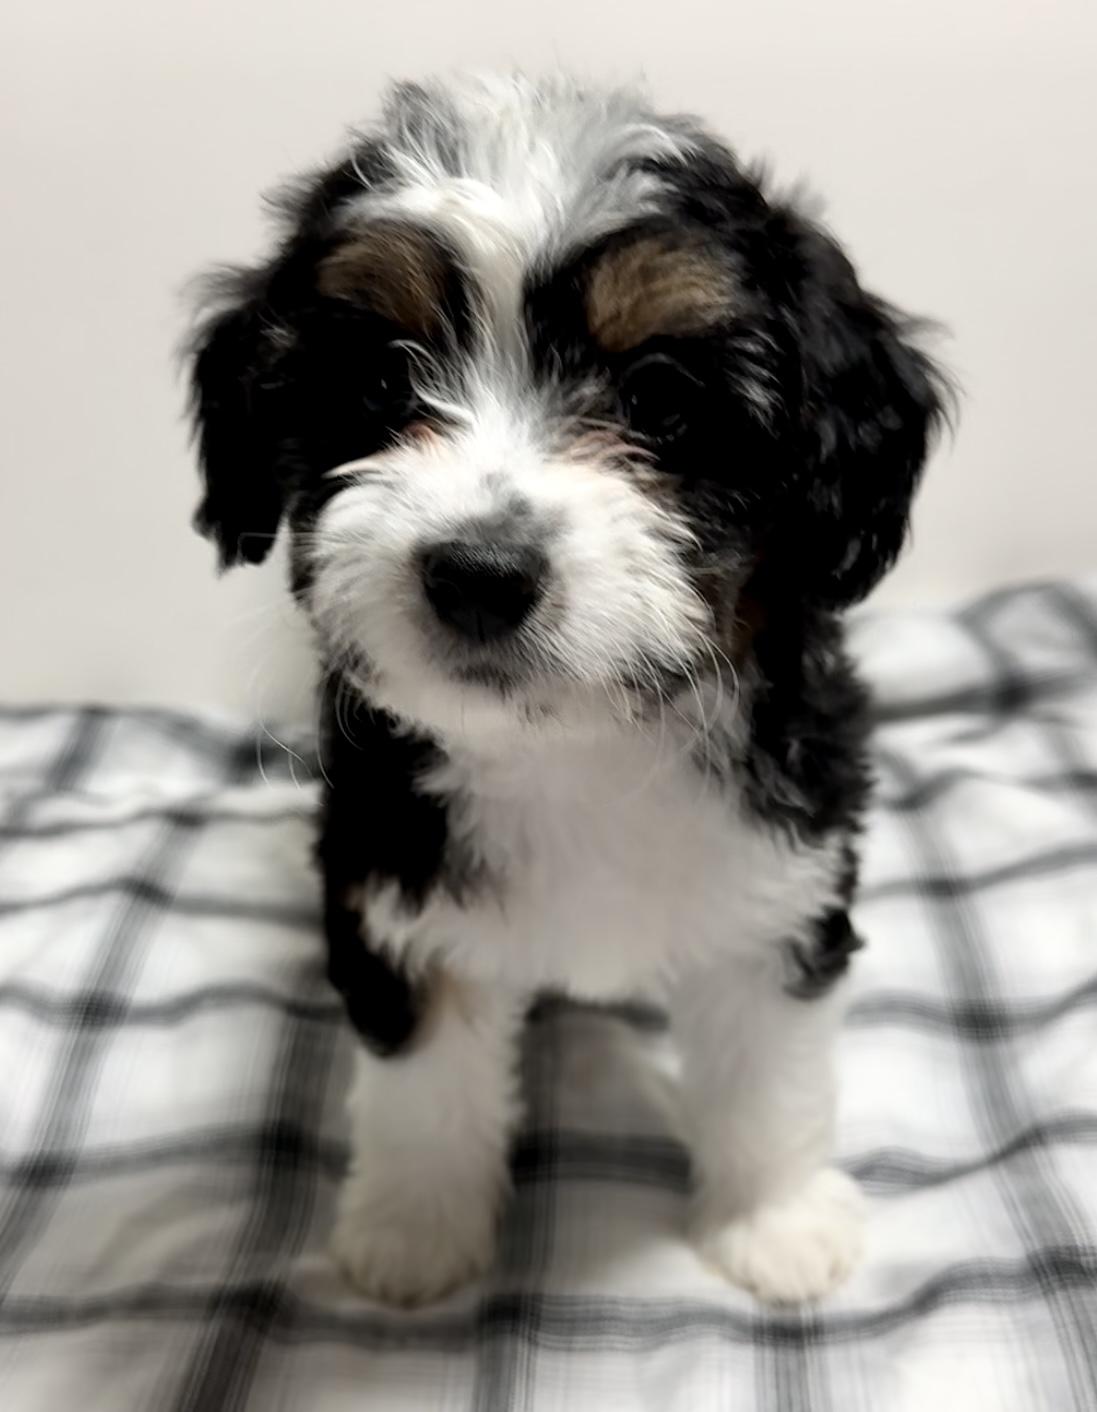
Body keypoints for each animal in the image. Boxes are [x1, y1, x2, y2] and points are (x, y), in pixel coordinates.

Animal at [187, 74, 946, 1306]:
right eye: (383, 379)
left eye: (660, 397)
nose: (478, 573)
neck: (573, 745)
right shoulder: (391, 877)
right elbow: (424, 1080)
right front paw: (414, 1232)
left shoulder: (778, 877)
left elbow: (767, 1068)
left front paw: (773, 1219)